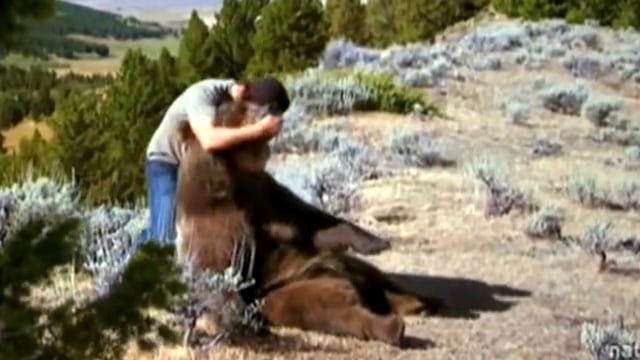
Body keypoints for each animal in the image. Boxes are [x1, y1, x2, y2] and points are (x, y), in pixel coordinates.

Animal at [174, 100, 444, 346]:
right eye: (238, 110)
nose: (268, 109)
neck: (238, 176)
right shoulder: (218, 219)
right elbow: (217, 270)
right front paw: (238, 321)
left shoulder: (270, 195)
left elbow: (313, 219)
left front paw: (376, 242)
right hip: (299, 289)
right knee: (327, 308)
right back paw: (392, 327)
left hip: (346, 266)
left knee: (382, 282)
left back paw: (423, 301)